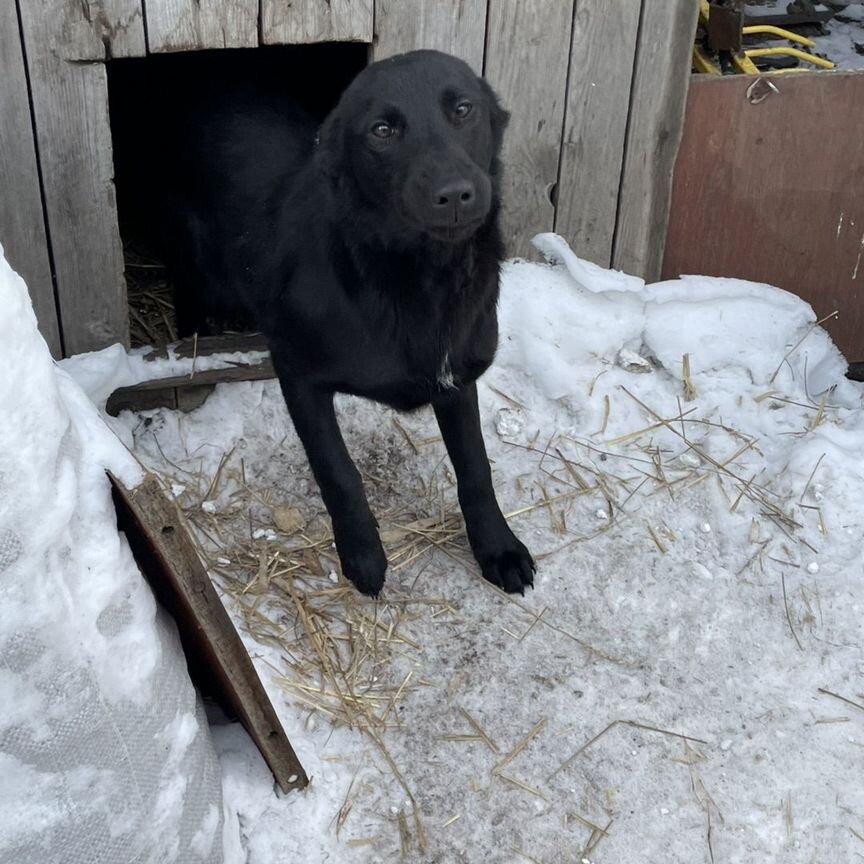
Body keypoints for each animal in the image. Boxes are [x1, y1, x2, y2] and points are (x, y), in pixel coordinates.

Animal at [166, 49, 536, 592]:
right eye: (382, 130)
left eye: (463, 109)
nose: (455, 194)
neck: (418, 279)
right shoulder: (297, 373)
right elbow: (339, 472)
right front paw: (363, 554)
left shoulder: (456, 378)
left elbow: (476, 467)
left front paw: (498, 547)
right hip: (194, 262)